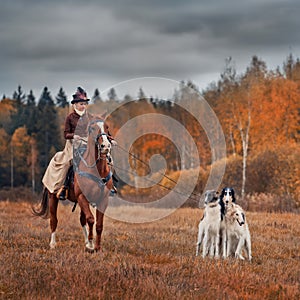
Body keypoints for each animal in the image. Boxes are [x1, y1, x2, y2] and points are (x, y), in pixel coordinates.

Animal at [32, 118, 112, 252]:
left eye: (107, 127)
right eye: (92, 128)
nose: (105, 146)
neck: (97, 171)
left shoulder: (103, 200)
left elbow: (99, 225)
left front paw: (97, 247)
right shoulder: (82, 197)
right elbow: (91, 219)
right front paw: (91, 245)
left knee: (82, 220)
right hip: (53, 197)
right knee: (54, 220)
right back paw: (53, 244)